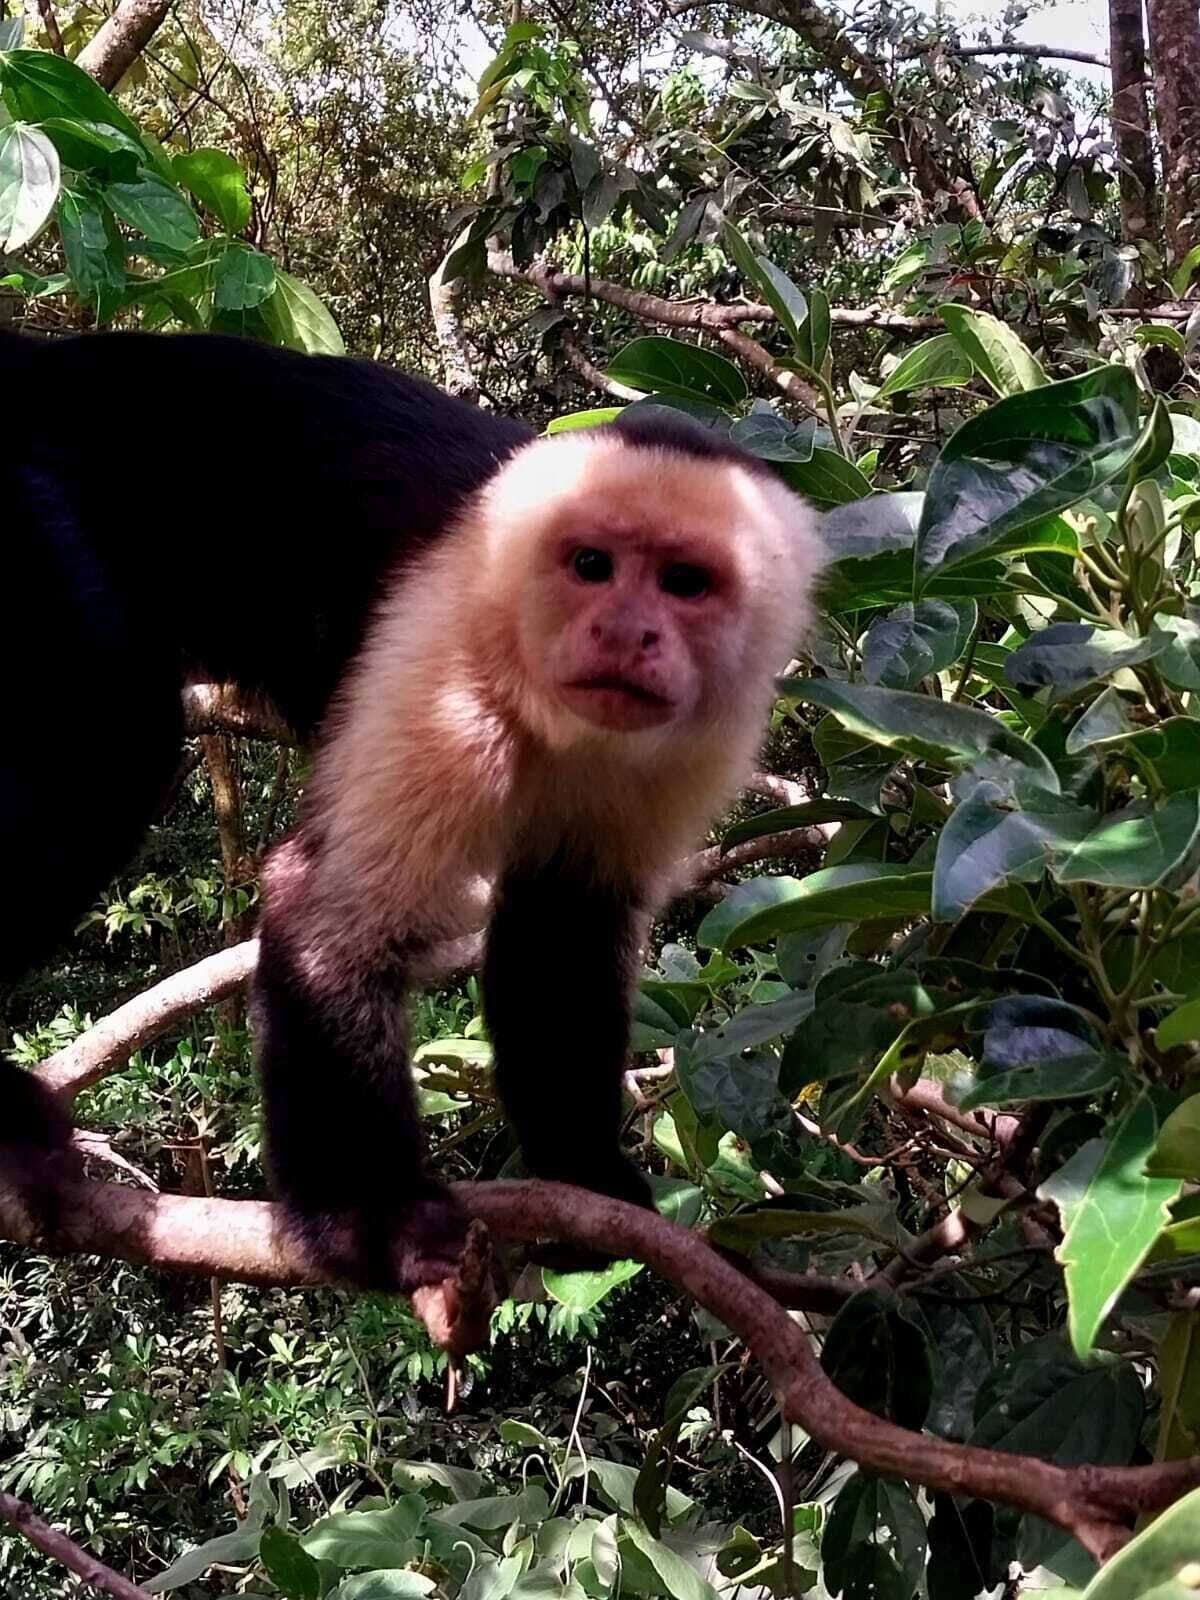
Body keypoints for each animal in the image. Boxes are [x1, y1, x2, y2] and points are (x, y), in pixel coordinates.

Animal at [0, 328, 823, 1293]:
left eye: (685, 583)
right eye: (593, 566)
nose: (625, 632)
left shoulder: (697, 743)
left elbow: (564, 930)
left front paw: (586, 1178)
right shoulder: (445, 674)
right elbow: (328, 916)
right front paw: (368, 1215)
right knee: (114, 743)